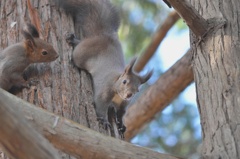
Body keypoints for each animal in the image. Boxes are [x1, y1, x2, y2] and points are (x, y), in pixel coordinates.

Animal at [54, 0, 152, 132]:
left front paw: (121, 124)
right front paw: (105, 121)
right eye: (124, 81)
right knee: (79, 49)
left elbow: (121, 113)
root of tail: (103, 35)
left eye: (138, 90)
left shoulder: (123, 104)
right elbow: (100, 106)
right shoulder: (104, 91)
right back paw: (74, 41)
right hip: (82, 53)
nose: (129, 95)